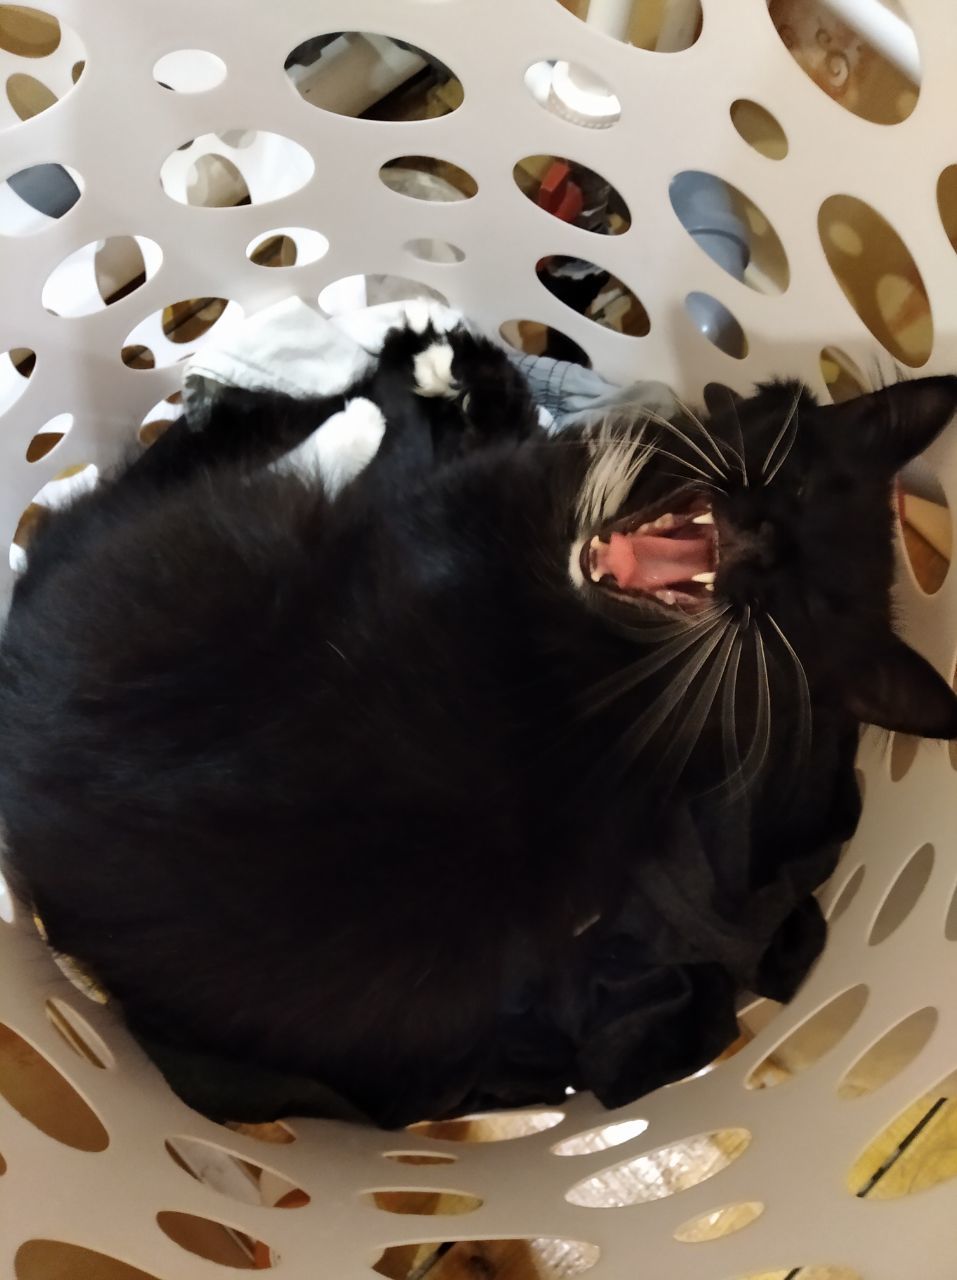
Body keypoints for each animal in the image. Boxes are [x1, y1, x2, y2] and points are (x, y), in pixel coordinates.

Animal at [1, 317, 957, 1121]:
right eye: (797, 484)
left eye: (804, 608)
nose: (761, 541)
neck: (620, 655)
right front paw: (474, 382)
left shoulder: (420, 518)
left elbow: (403, 463)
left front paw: (421, 379)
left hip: (186, 555)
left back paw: (345, 406)